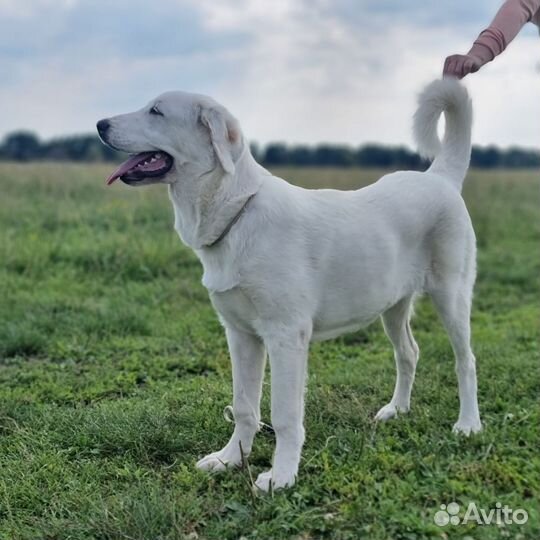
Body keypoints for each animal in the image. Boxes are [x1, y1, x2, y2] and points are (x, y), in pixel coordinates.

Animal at [99, 78, 484, 492]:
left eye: (156, 111)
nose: (100, 125)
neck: (236, 213)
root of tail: (438, 177)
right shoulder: (240, 334)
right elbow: (244, 407)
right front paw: (230, 459)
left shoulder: (285, 336)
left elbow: (284, 415)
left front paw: (280, 477)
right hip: (392, 307)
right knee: (409, 352)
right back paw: (396, 409)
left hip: (451, 296)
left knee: (466, 361)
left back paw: (468, 425)